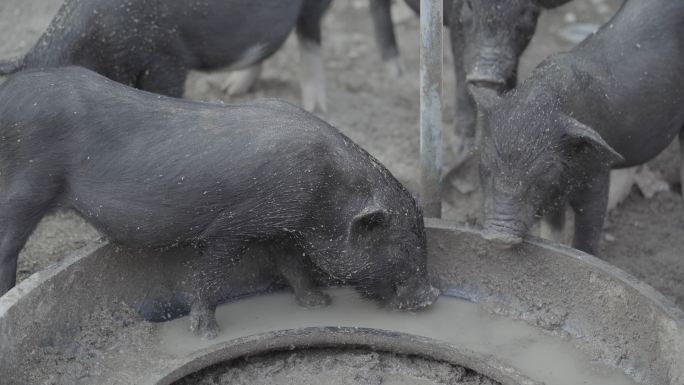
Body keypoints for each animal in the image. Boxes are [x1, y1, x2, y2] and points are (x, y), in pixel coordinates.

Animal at [0, 0, 332, 112]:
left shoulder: (167, 61)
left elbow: (166, 93)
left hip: (313, 7)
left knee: (310, 40)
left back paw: (315, 107)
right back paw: (232, 89)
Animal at [0, 67, 438, 338]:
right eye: (400, 245)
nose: (431, 296)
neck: (323, 192)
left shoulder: (278, 228)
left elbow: (292, 264)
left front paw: (319, 304)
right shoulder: (233, 227)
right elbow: (210, 275)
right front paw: (206, 333)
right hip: (26, 187)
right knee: (8, 243)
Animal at [476, 0, 684, 255]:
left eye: (544, 171)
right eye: (486, 164)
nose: (499, 235)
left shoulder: (598, 175)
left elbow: (587, 236)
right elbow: (553, 230)